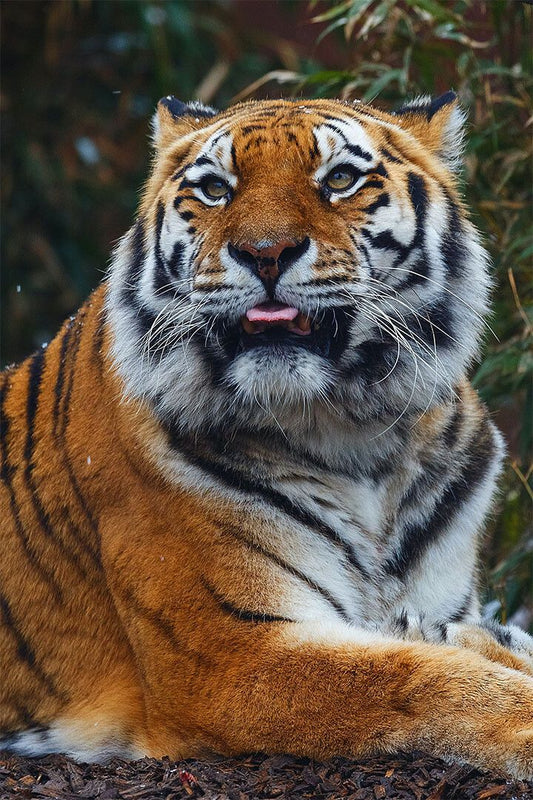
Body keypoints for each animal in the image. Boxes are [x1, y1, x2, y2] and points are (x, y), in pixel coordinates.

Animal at [1, 94, 532, 780]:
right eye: (214, 189)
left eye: (339, 180)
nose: (265, 251)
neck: (352, 434)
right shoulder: (230, 654)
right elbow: (423, 677)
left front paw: (480, 638)